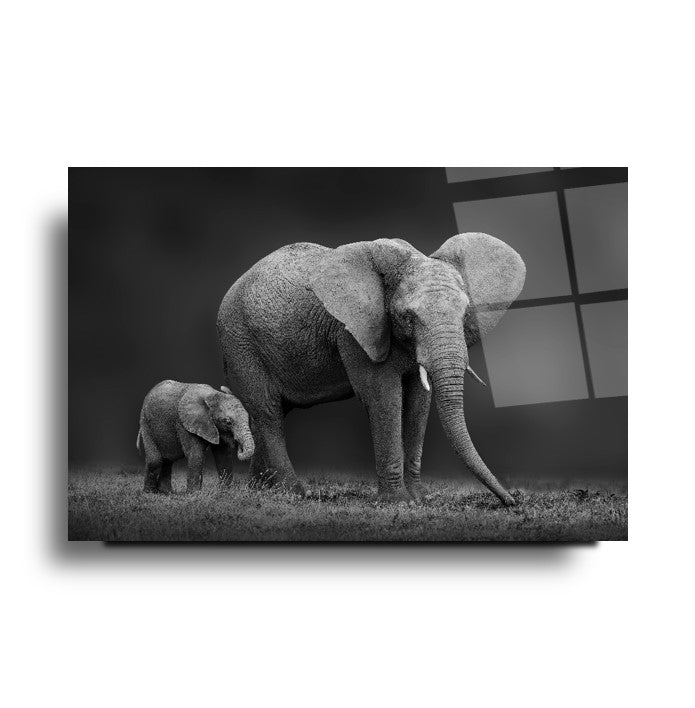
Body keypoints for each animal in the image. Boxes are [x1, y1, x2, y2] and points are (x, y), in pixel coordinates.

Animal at [217, 233, 525, 504]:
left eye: (465, 314)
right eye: (408, 317)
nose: (511, 501)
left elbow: (418, 401)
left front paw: (420, 499)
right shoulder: (353, 332)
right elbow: (383, 397)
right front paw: (400, 503)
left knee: (271, 411)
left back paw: (261, 490)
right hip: (240, 342)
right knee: (268, 412)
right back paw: (294, 493)